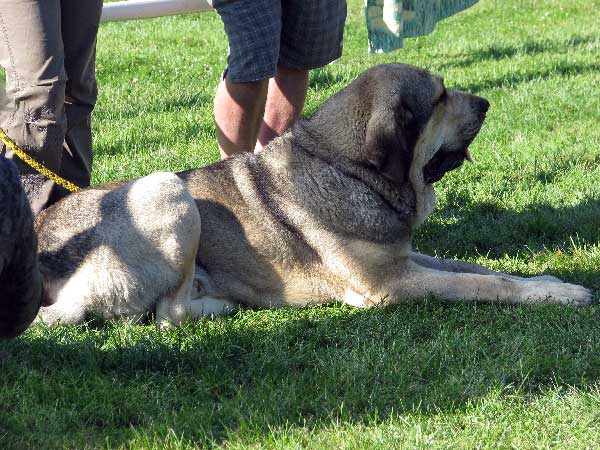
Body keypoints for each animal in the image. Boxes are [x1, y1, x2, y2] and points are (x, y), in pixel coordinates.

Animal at [7, 63, 592, 330]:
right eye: (442, 96)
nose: (488, 103)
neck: (349, 168)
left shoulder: (403, 257)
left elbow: (474, 267)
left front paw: (547, 282)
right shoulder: (390, 285)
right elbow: (481, 283)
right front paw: (559, 296)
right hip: (166, 187)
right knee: (167, 314)